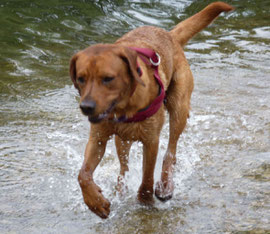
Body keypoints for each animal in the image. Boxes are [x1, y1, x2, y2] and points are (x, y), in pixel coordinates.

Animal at [70, 0, 234, 218]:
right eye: (81, 78)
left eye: (108, 78)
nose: (86, 107)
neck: (124, 107)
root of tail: (170, 35)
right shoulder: (98, 138)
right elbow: (83, 175)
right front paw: (95, 202)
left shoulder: (151, 140)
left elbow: (147, 177)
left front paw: (145, 200)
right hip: (122, 139)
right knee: (124, 167)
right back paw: (121, 190)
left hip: (179, 108)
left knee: (170, 152)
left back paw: (165, 185)